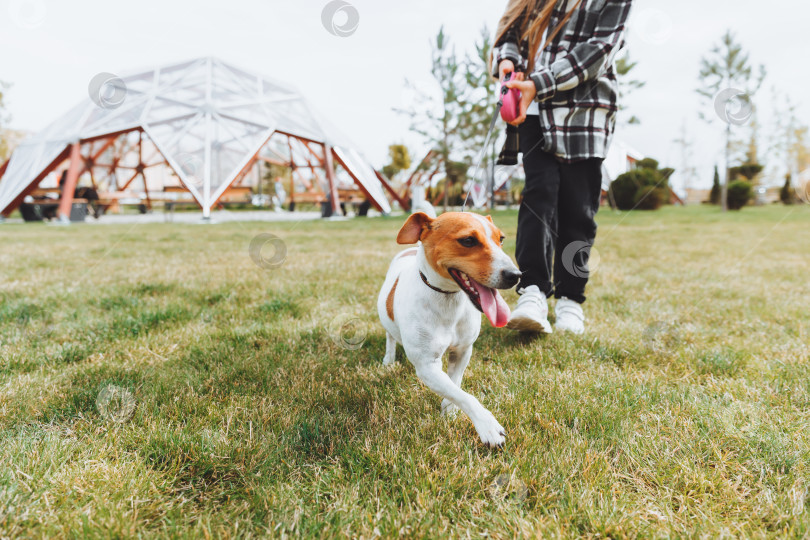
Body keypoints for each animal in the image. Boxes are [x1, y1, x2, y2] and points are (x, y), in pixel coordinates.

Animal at [376, 211, 520, 448]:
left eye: (501, 239)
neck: (448, 298)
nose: (515, 275)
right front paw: (487, 425)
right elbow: (465, 395)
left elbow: (456, 386)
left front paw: (449, 410)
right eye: (468, 240)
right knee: (390, 335)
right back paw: (389, 358)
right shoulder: (427, 365)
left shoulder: (463, 351)